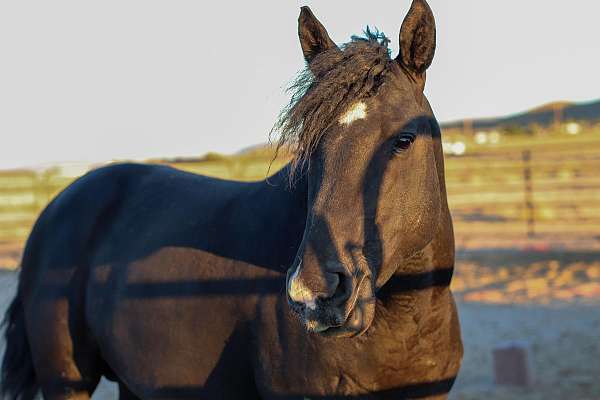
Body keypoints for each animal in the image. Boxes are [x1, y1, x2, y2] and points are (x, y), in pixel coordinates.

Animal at [1, 1, 464, 398]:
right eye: (308, 147)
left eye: (404, 140)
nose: (314, 295)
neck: (406, 315)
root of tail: (56, 209)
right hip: (66, 380)